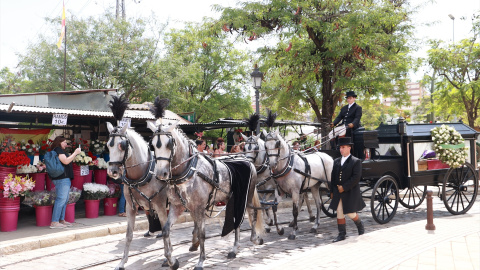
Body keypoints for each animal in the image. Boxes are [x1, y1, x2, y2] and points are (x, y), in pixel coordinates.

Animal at [148, 121, 264, 270]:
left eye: (169, 144)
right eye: (152, 145)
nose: (161, 174)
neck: (189, 171)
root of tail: (246, 159)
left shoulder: (199, 207)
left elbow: (202, 234)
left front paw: (201, 261)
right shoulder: (177, 206)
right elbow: (166, 230)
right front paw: (172, 261)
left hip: (246, 196)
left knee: (251, 215)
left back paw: (253, 239)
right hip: (232, 198)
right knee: (236, 220)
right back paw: (235, 248)